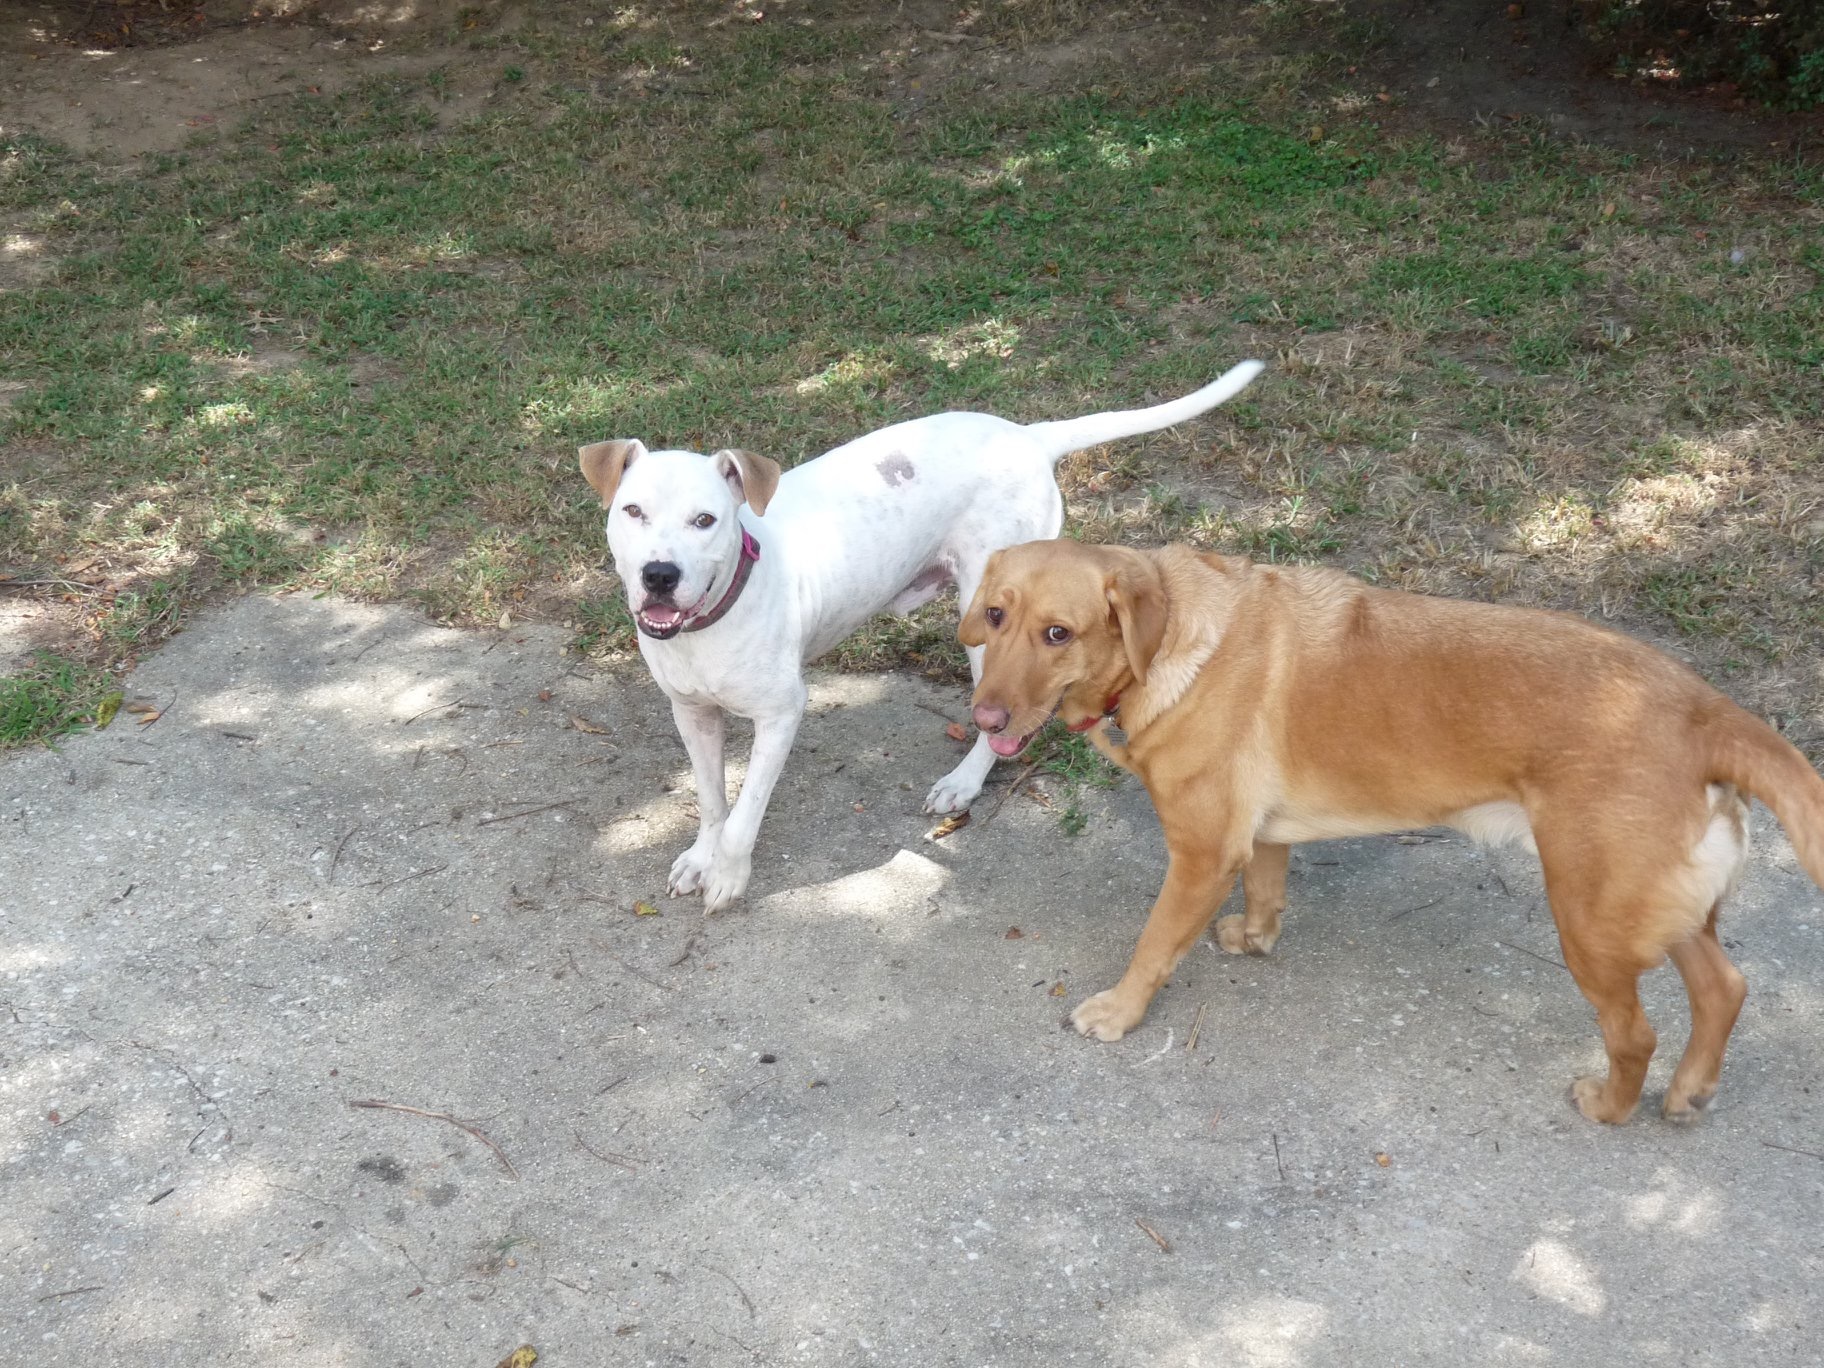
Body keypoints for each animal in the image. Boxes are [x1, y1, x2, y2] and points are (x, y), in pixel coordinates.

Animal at [576, 364, 1262, 915]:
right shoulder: (692, 713)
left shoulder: (781, 714)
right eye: (632, 511)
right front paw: (701, 857)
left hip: (990, 621)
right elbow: (712, 798)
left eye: (706, 520)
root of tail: (1027, 435)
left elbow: (745, 814)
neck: (713, 615)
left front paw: (728, 874)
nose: (659, 575)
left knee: (1006, 719)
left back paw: (965, 781)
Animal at [955, 539, 1824, 1130]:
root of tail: (1706, 711)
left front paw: (1119, 1012)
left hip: (1590, 919)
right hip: (1651, 908)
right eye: (995, 616)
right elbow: (1267, 891)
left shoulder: (1201, 855)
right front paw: (1255, 937)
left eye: (1059, 634)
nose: (984, 718)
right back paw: (1690, 1089)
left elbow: (1152, 947)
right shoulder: (1259, 838)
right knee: (1724, 987)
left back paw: (1612, 1104)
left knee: (1637, 1034)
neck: (1168, 638)